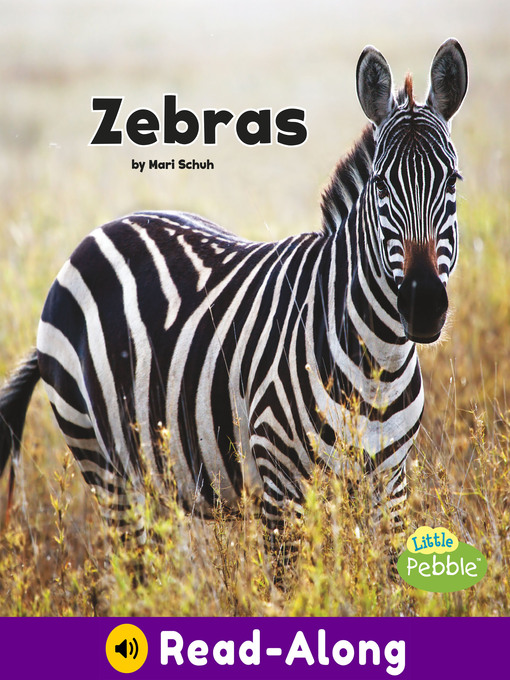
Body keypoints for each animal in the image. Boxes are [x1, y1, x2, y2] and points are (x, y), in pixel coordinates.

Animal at [0, 39, 467, 555]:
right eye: (381, 184)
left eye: (453, 182)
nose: (423, 306)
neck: (377, 362)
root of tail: (98, 233)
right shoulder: (282, 487)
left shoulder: (390, 485)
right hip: (103, 463)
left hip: (154, 473)